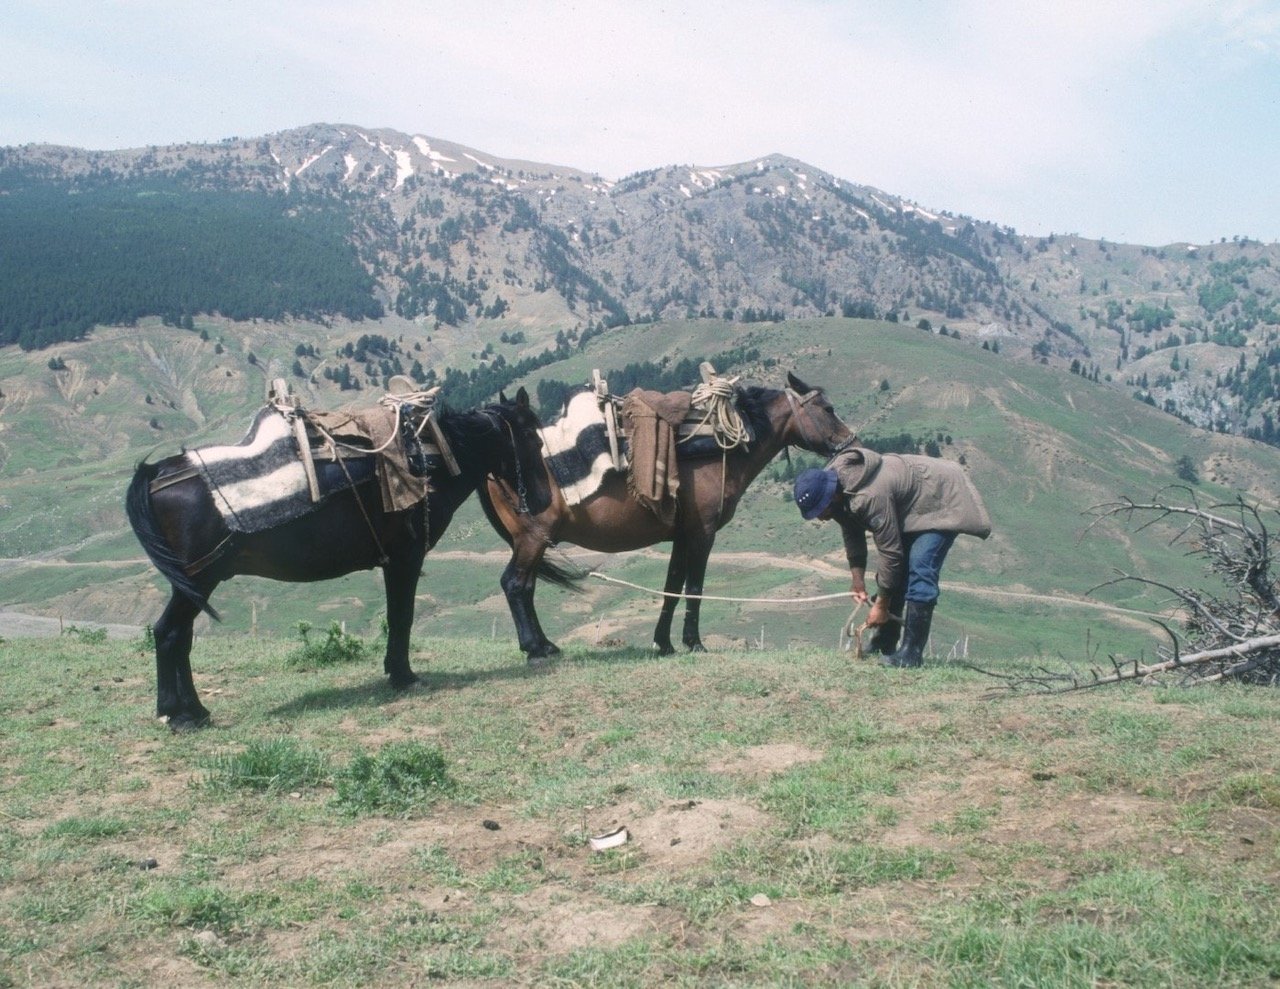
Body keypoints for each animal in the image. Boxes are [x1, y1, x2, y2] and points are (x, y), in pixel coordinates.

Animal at [127, 388, 547, 726]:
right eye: (531, 436)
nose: (543, 500)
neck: (430, 461)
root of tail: (158, 472)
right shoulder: (405, 557)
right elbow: (402, 617)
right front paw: (404, 675)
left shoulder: (395, 561)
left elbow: (398, 617)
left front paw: (396, 672)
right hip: (200, 578)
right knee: (169, 633)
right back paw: (181, 714)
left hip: (193, 584)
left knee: (177, 635)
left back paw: (188, 710)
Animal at [478, 373, 849, 660]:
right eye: (827, 409)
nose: (849, 441)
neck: (718, 447)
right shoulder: (702, 532)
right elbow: (695, 586)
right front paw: (694, 643)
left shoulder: (681, 535)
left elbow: (672, 586)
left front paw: (664, 643)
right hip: (532, 538)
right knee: (514, 584)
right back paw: (534, 649)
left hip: (532, 541)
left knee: (525, 587)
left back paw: (544, 644)